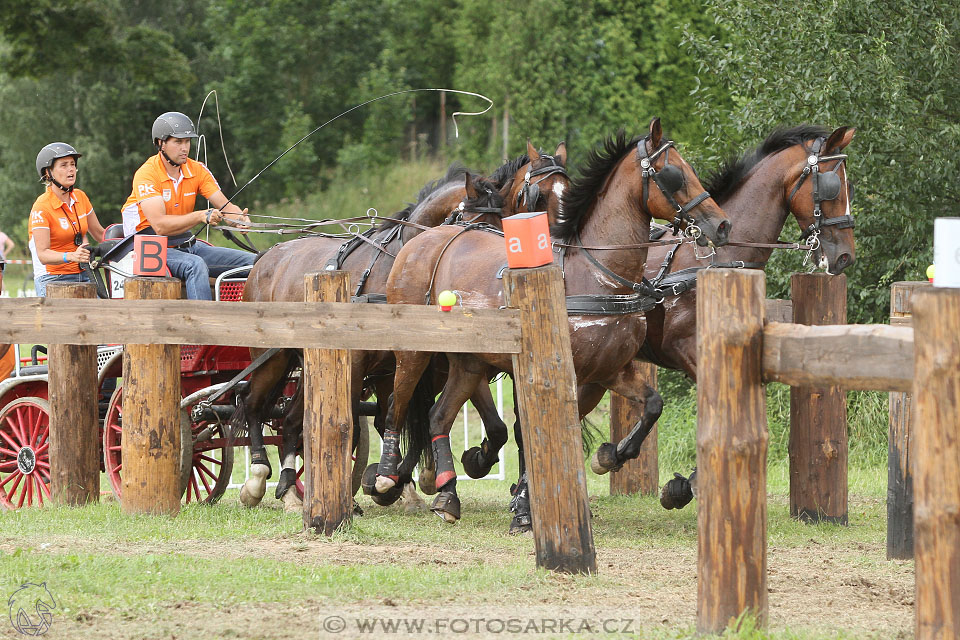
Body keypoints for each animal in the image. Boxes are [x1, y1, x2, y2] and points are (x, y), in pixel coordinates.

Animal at [233, 144, 568, 510]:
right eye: (473, 226)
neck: (399, 263)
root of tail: (267, 256)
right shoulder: (363, 362)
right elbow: (362, 421)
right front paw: (386, 483)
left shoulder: (423, 365)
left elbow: (449, 421)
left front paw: (409, 480)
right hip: (271, 356)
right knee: (252, 403)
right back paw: (258, 477)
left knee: (293, 420)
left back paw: (291, 488)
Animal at [378, 117, 732, 524]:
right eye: (673, 174)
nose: (721, 225)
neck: (599, 275)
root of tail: (421, 242)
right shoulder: (560, 373)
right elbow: (539, 431)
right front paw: (524, 505)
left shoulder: (608, 371)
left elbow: (651, 405)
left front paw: (609, 457)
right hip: (413, 351)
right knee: (396, 405)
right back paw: (387, 476)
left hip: (469, 362)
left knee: (438, 417)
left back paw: (448, 494)